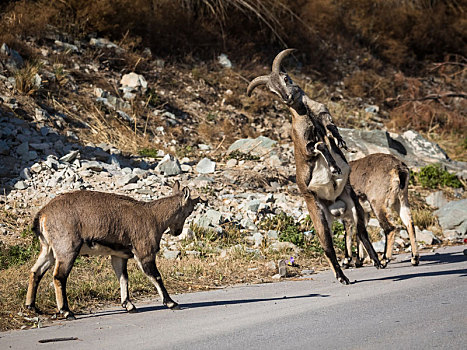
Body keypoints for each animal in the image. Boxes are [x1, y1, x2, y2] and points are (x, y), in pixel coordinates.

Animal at [25, 182, 201, 322]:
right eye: (189, 211)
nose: (177, 232)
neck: (154, 217)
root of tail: (42, 215)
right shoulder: (144, 252)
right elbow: (156, 276)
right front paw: (172, 303)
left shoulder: (118, 255)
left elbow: (123, 277)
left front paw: (129, 305)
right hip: (67, 248)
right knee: (58, 277)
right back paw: (67, 312)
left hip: (48, 249)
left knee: (35, 271)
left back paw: (31, 307)